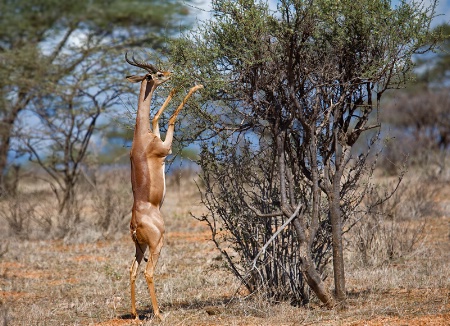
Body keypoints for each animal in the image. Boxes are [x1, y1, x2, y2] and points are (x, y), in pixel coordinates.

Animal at [125, 52, 205, 320]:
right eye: (157, 74)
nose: (171, 74)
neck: (141, 138)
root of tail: (135, 223)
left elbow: (157, 116)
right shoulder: (165, 148)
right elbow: (169, 117)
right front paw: (194, 86)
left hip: (139, 247)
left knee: (132, 270)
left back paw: (136, 314)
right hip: (156, 244)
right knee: (148, 272)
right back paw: (159, 314)